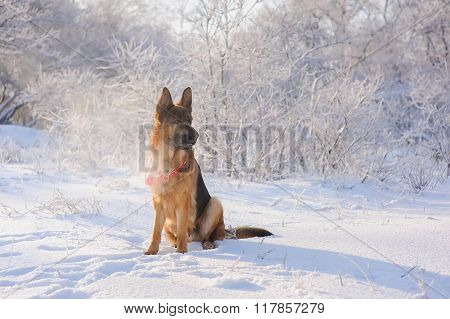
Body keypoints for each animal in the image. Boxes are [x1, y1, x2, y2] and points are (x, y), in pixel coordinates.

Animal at [145, 87, 270, 255]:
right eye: (178, 121)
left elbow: (182, 230)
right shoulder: (158, 203)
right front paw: (152, 251)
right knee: (174, 236)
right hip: (169, 225)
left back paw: (206, 244)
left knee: (208, 236)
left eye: (190, 121)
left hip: (214, 204)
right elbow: (155, 231)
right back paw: (175, 244)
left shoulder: (183, 203)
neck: (168, 163)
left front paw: (182, 253)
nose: (197, 135)